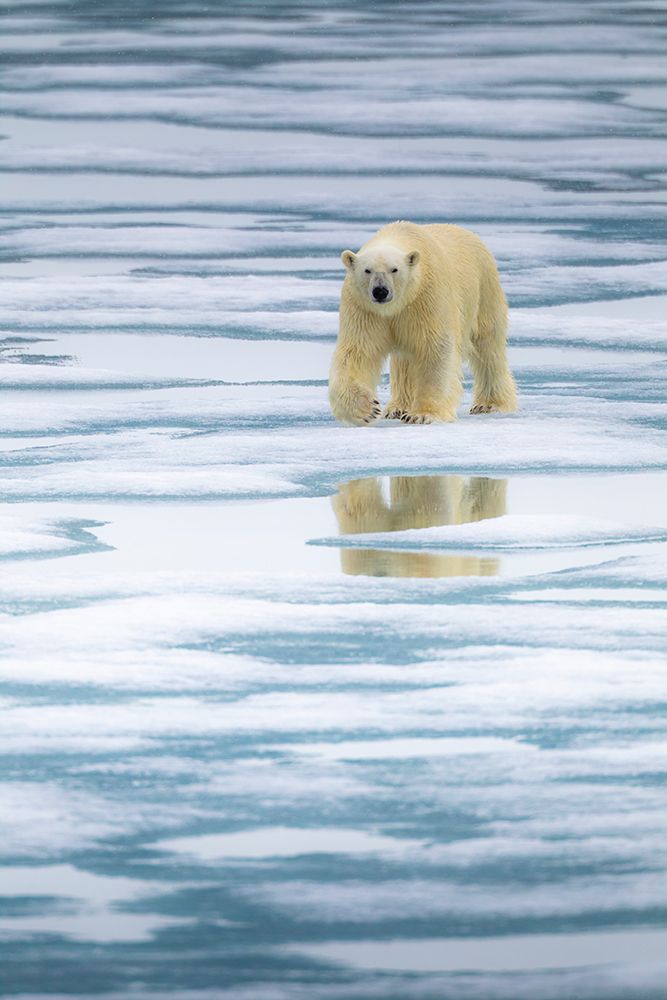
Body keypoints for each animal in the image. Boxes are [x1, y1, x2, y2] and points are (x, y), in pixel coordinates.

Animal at [328, 220, 517, 425]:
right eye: (367, 270)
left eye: (394, 269)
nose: (380, 291)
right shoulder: (364, 309)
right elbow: (358, 351)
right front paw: (367, 409)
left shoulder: (427, 297)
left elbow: (434, 348)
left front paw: (422, 414)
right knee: (403, 362)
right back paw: (397, 408)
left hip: (484, 289)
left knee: (488, 347)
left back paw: (490, 404)